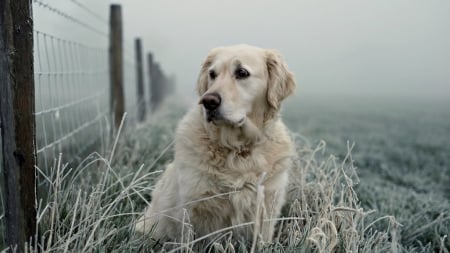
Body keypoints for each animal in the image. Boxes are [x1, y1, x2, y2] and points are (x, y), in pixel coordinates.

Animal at [135, 44, 298, 244]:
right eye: (212, 74)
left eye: (242, 72)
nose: (208, 101)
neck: (239, 150)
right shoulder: (193, 209)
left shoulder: (267, 204)